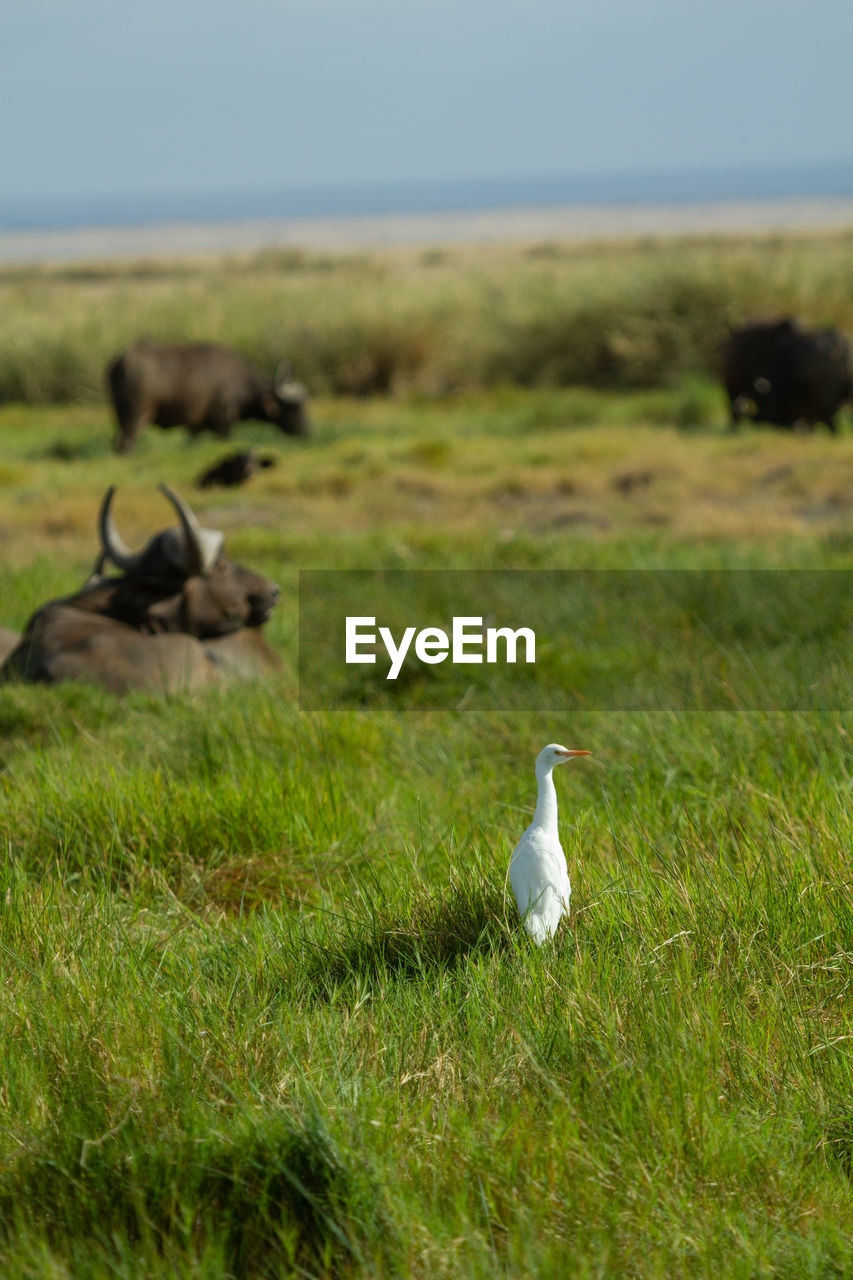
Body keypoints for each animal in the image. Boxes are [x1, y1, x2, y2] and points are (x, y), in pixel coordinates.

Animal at [106, 343, 311, 458]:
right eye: (294, 408)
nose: (307, 431)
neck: (238, 380)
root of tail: (120, 361)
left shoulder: (195, 426)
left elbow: (192, 441)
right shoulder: (223, 421)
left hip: (119, 415)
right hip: (136, 416)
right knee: (126, 442)